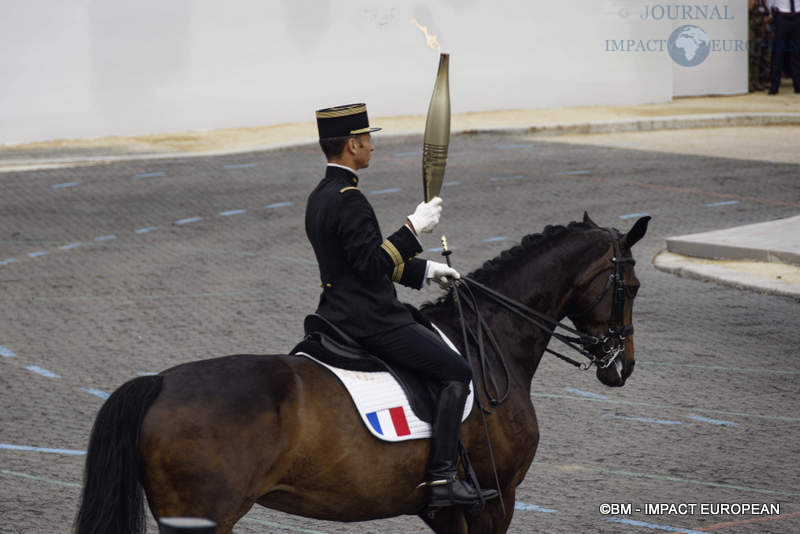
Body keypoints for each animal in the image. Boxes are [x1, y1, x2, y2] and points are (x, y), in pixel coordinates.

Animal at [73, 214, 648, 534]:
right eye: (635, 286)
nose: (622, 365)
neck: (487, 340)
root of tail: (159, 382)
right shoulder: (496, 497)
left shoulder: (446, 512)